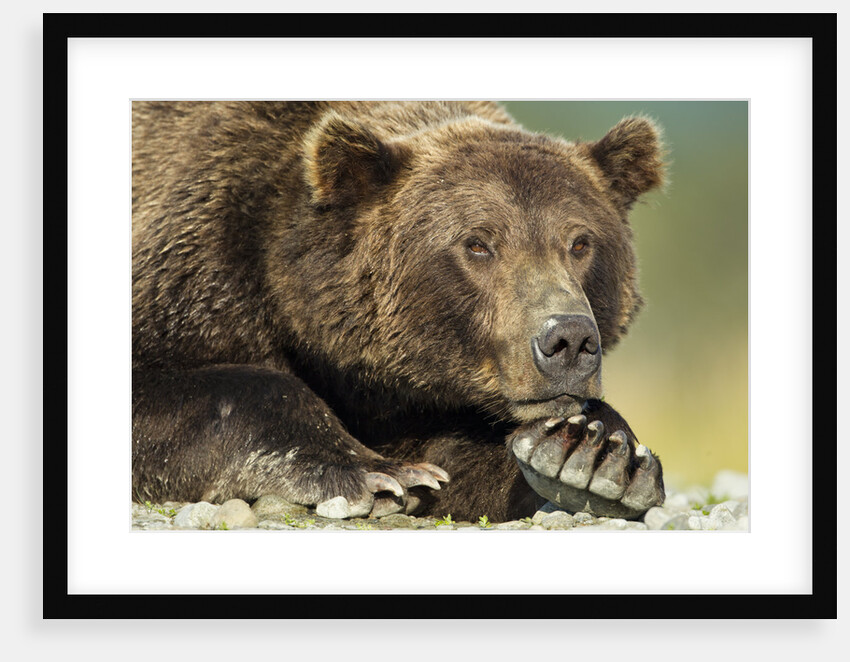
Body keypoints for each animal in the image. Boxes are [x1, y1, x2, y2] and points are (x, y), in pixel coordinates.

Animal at [132, 101, 665, 522]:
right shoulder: (197, 272)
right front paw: (380, 473)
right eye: (477, 243)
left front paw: (593, 453)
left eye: (579, 242)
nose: (568, 339)